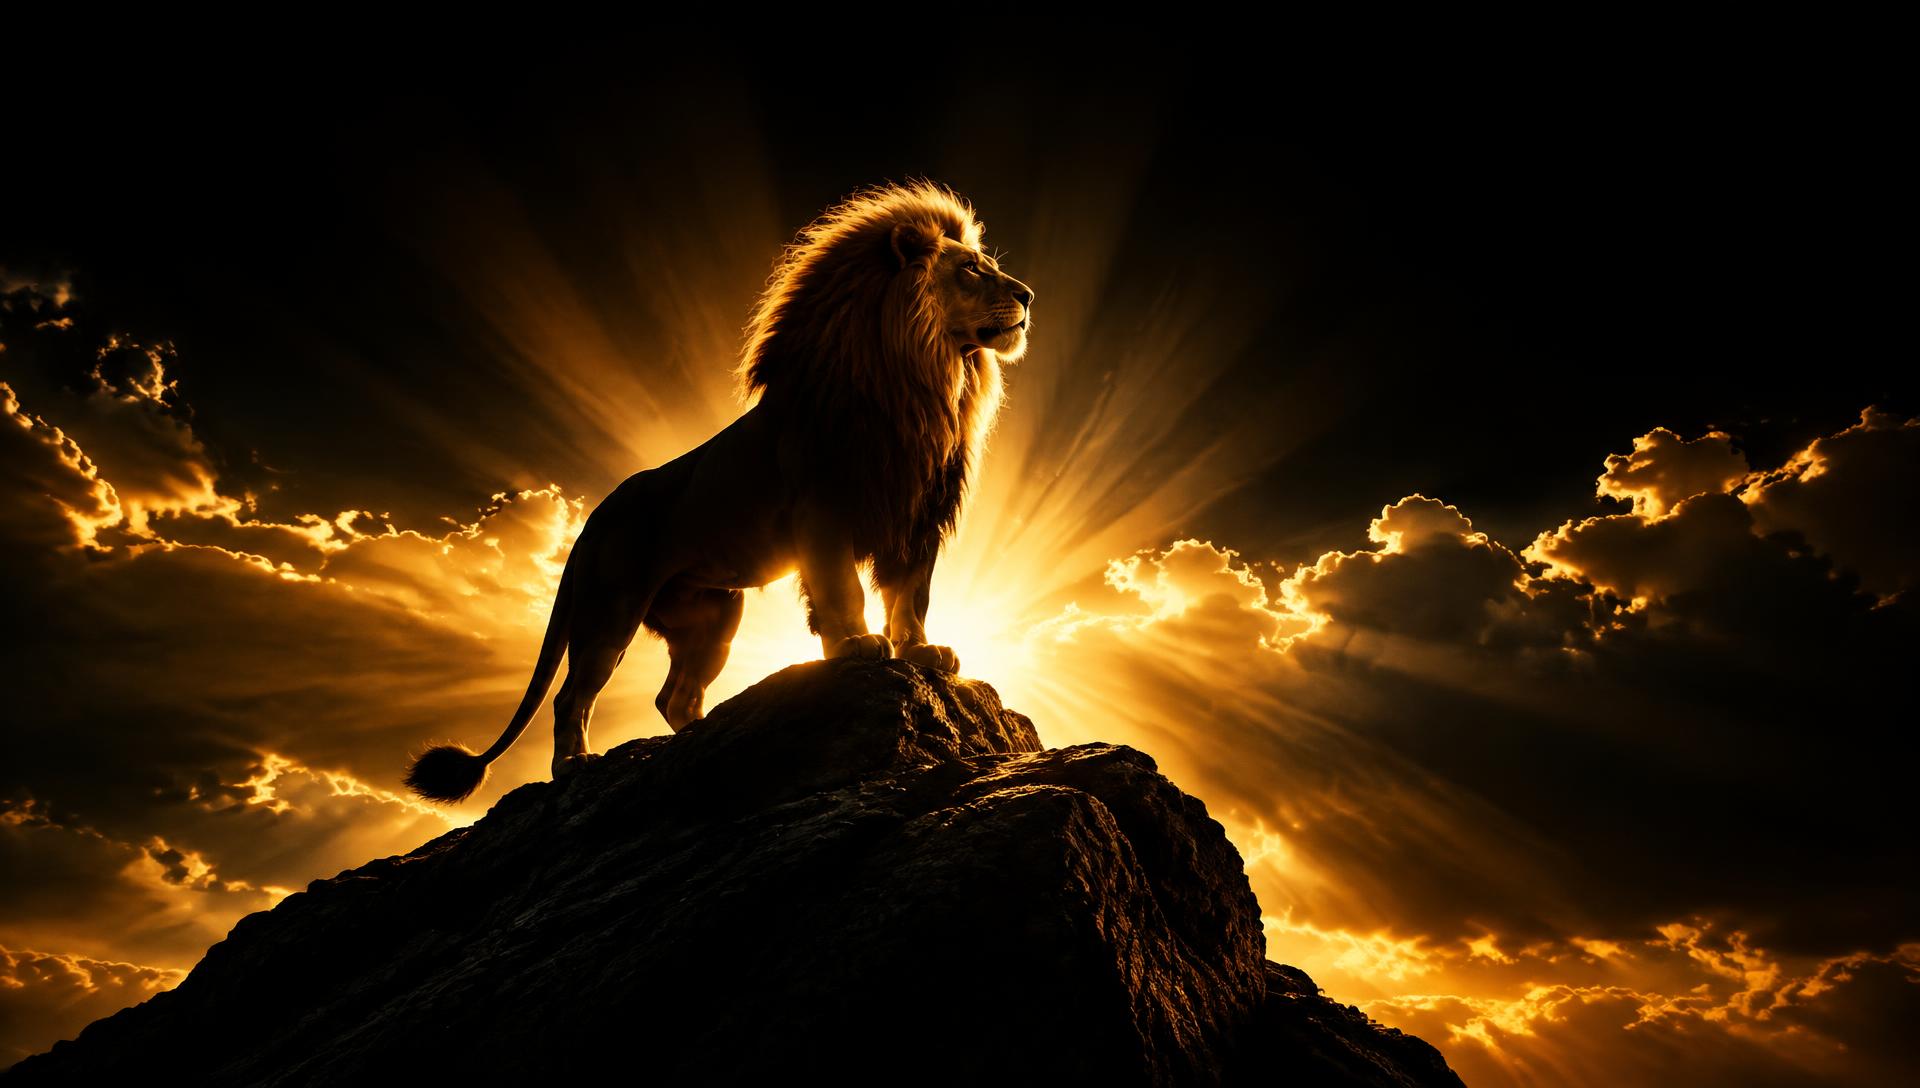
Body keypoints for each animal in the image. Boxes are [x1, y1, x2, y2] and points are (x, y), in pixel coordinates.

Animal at [404, 179, 1034, 803]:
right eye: (971, 270)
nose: (1028, 296)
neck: (924, 381)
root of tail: (590, 524)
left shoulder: (918, 519)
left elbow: (910, 599)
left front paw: (923, 652)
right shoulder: (824, 513)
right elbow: (844, 591)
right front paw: (857, 645)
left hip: (713, 616)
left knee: (673, 696)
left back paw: (707, 737)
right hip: (611, 611)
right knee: (571, 696)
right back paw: (576, 764)